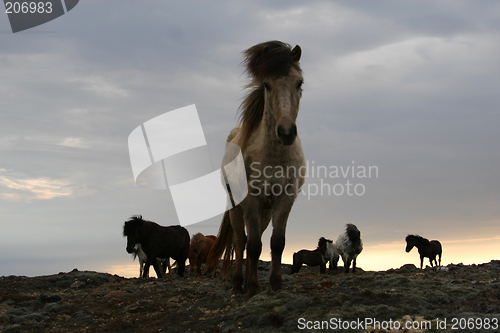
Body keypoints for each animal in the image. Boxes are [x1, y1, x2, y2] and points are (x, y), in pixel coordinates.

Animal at [203, 40, 304, 298]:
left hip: (265, 211)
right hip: (237, 206)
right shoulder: (251, 199)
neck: (274, 157)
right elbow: (253, 244)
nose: (286, 133)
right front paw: (252, 288)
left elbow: (276, 242)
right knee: (241, 241)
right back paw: (239, 283)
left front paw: (275, 284)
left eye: (299, 83)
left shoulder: (285, 199)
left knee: (252, 240)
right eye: (267, 85)